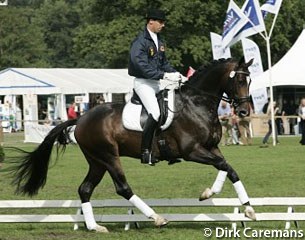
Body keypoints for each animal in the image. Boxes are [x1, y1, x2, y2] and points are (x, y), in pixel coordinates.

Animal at [8, 57, 254, 232]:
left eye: (249, 80)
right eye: (240, 80)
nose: (243, 112)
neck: (197, 103)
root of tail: (82, 118)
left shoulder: (211, 147)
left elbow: (227, 167)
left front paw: (225, 199)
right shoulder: (192, 151)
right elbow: (225, 166)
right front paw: (239, 205)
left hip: (97, 161)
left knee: (85, 189)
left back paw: (94, 227)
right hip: (108, 156)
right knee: (123, 188)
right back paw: (157, 218)